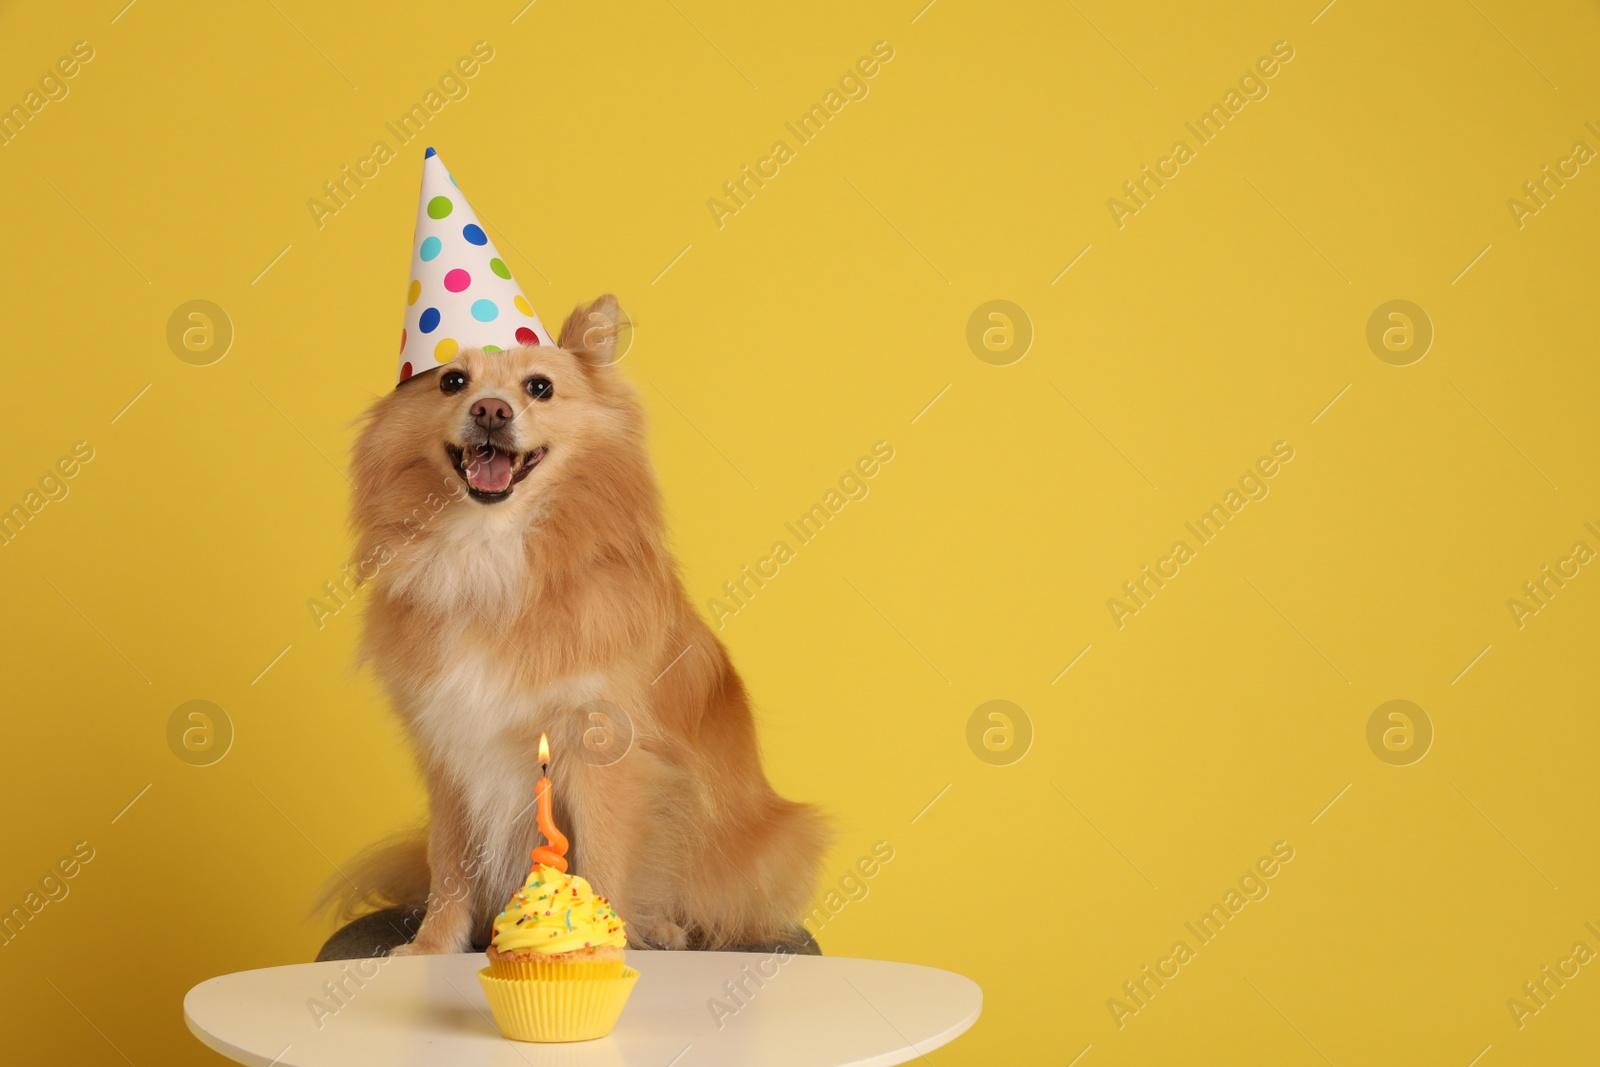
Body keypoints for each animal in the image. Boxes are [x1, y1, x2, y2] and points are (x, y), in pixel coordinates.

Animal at [328, 294, 825, 953]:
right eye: (453, 382)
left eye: (539, 387)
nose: (490, 410)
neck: (491, 551)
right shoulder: (452, 751)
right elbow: (450, 864)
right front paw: (432, 945)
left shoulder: (603, 753)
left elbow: (604, 859)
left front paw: (601, 946)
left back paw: (663, 927)